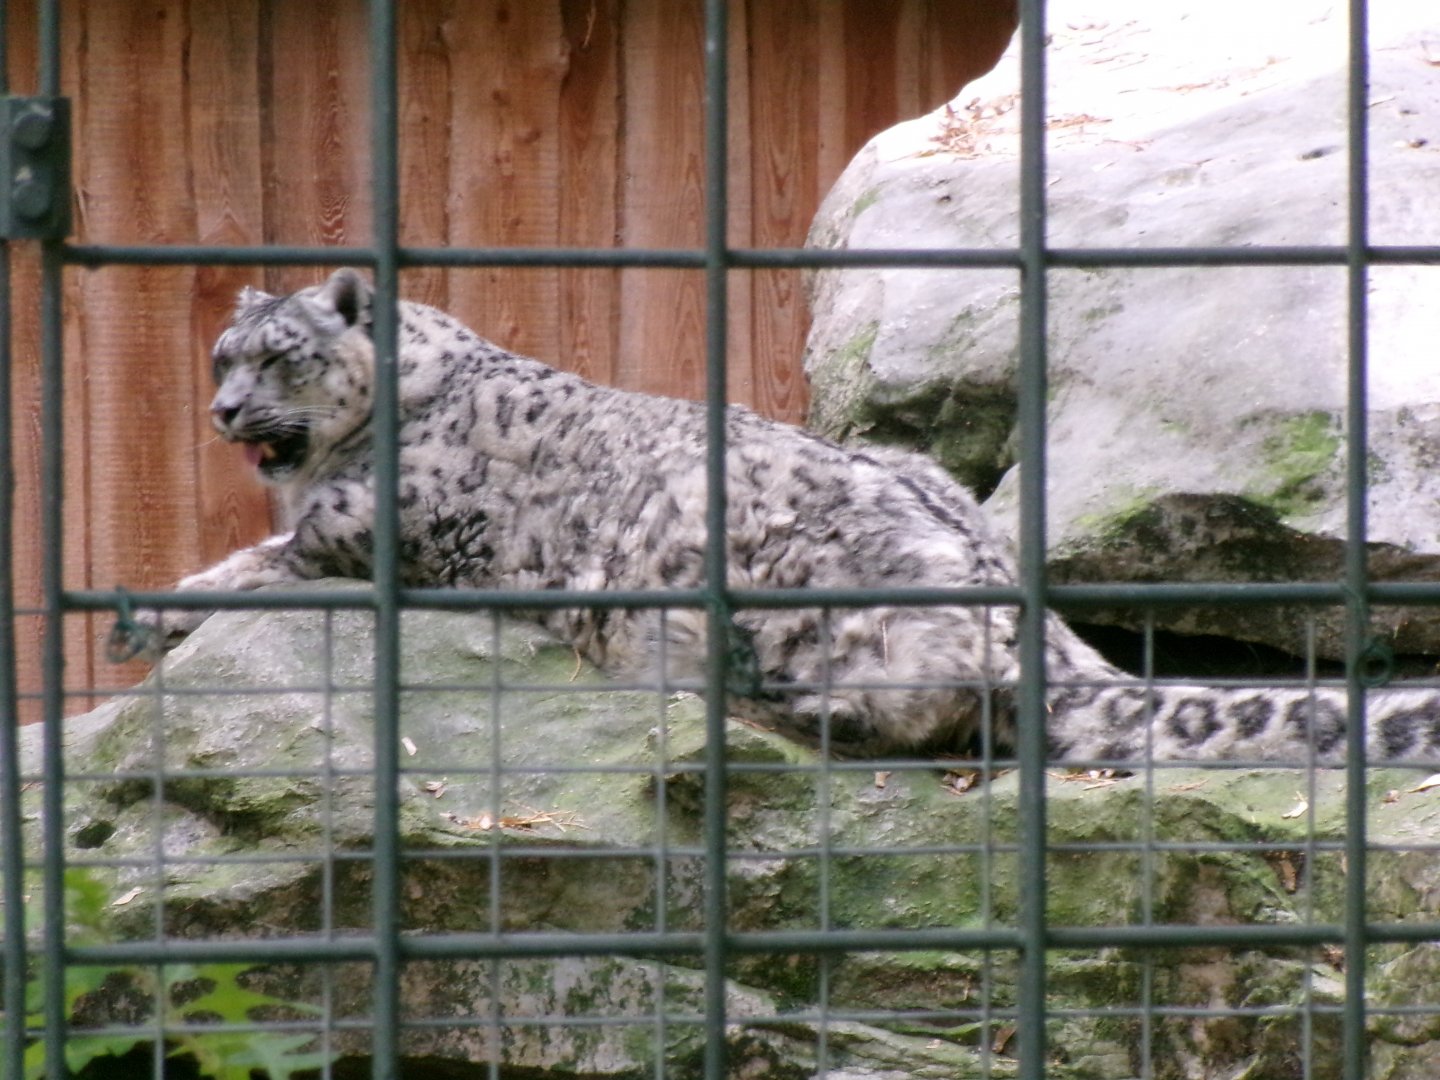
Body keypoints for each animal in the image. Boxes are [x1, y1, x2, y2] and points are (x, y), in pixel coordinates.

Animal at [128, 268, 1440, 765]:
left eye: (281, 357)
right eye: (219, 355)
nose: (224, 408)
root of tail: (1021, 606)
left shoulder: (367, 529)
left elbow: (270, 557)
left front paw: (167, 607)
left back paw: (798, 707)